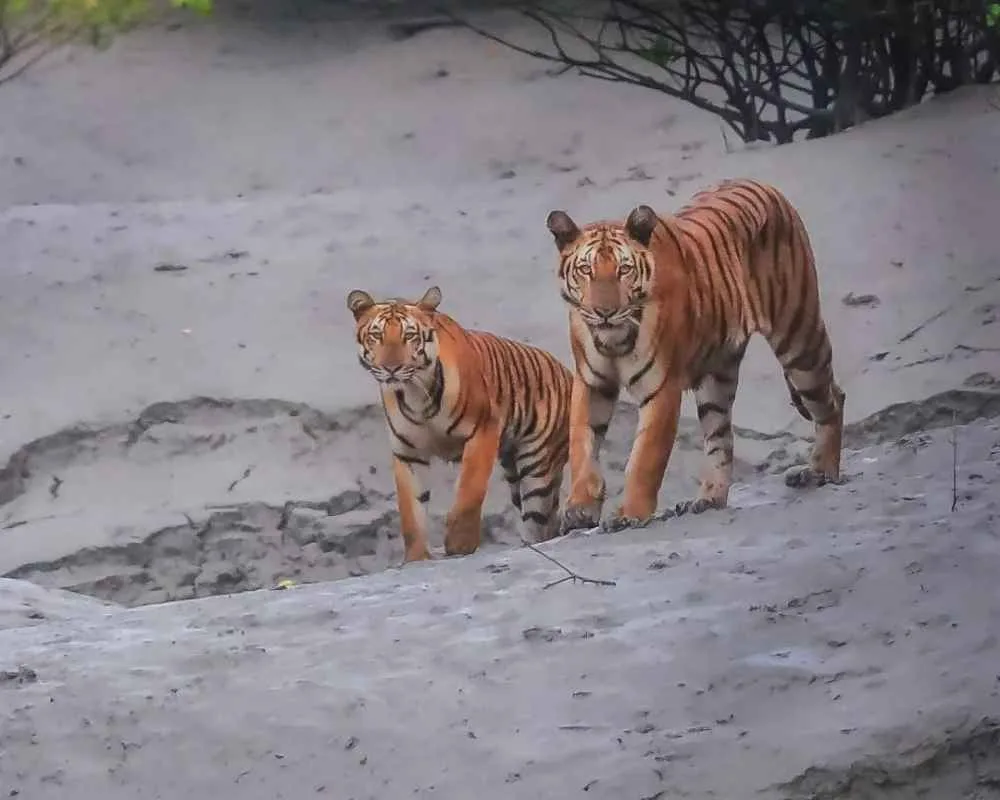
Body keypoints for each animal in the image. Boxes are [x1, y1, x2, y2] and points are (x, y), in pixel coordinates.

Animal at [347, 285, 573, 562]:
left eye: (409, 335)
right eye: (376, 335)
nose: (391, 368)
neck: (415, 394)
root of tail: (567, 373)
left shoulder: (482, 432)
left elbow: (469, 491)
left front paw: (459, 544)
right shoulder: (408, 453)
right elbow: (411, 512)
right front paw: (417, 557)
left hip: (538, 467)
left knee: (539, 521)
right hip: (514, 469)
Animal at [544, 177, 846, 533]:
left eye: (624, 270)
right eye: (585, 270)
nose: (605, 312)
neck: (614, 336)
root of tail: (763, 184)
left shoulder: (663, 387)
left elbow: (645, 458)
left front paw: (630, 514)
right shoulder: (592, 382)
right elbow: (582, 444)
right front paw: (580, 508)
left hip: (799, 339)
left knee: (831, 399)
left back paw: (820, 471)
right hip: (716, 380)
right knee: (721, 438)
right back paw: (708, 499)